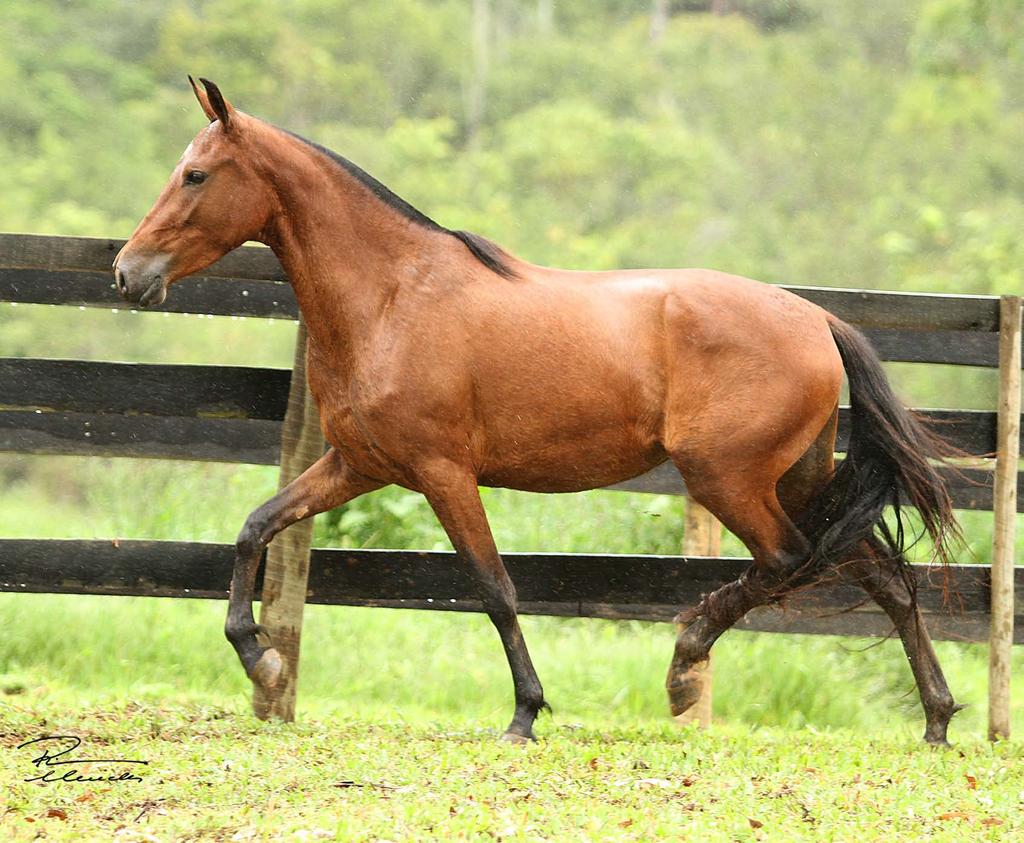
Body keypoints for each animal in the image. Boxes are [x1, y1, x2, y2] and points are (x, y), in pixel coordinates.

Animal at [116, 78, 962, 745]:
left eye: (195, 175)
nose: (128, 273)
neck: (392, 295)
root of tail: (819, 319)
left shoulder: (443, 472)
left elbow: (494, 587)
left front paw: (525, 712)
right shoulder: (357, 464)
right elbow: (255, 526)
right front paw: (260, 657)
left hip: (728, 478)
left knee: (789, 560)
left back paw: (685, 663)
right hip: (793, 480)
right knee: (883, 578)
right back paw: (937, 718)